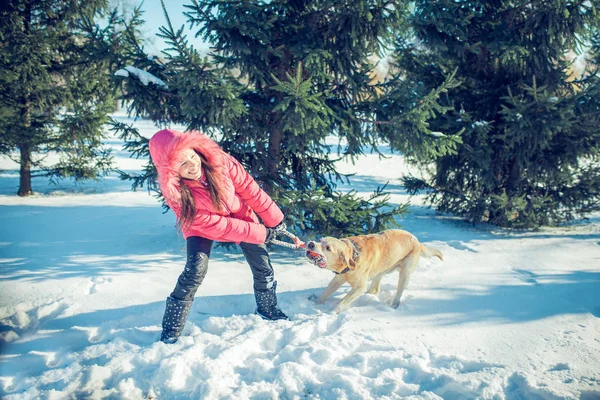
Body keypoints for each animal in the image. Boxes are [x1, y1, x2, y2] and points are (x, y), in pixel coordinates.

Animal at [304, 231, 440, 312]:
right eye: (320, 240)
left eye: (328, 248)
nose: (311, 243)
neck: (354, 256)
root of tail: (417, 240)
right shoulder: (338, 278)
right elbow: (325, 293)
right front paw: (316, 303)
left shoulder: (359, 287)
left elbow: (342, 301)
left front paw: (331, 312)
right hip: (380, 271)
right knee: (375, 289)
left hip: (405, 272)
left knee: (399, 292)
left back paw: (394, 305)